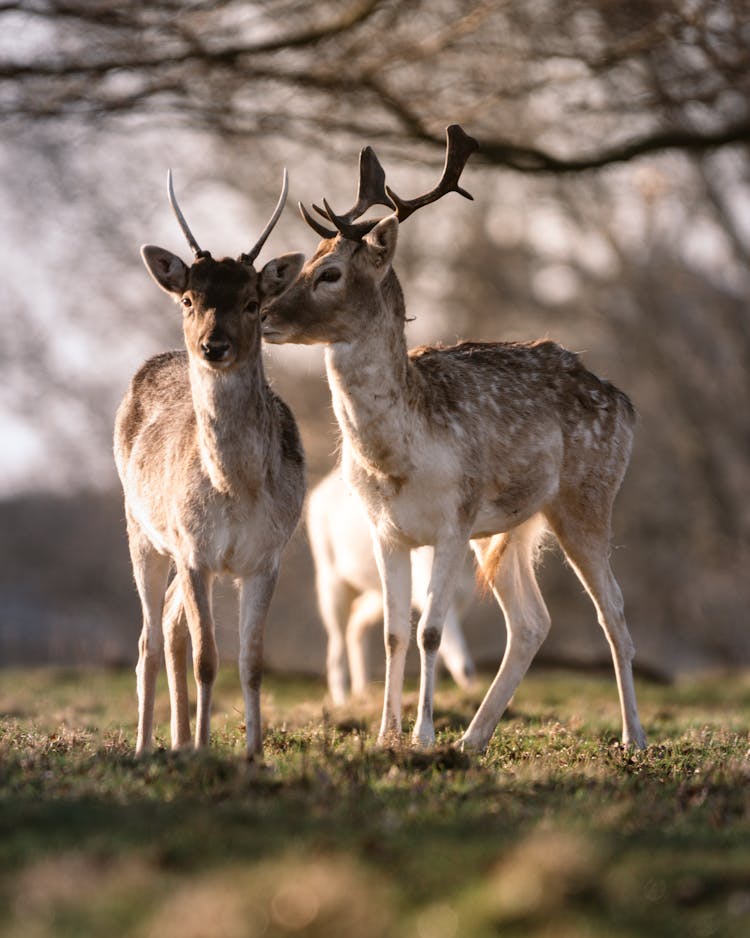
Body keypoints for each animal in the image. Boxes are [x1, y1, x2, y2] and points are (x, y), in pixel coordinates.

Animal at [114, 166, 306, 752]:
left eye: (253, 303)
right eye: (188, 299)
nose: (213, 345)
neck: (236, 489)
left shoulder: (267, 555)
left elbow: (251, 663)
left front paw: (253, 752)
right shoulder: (195, 550)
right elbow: (206, 659)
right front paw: (203, 750)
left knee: (171, 625)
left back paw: (176, 741)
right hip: (141, 528)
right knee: (150, 639)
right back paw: (148, 746)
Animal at [306, 468, 476, 704]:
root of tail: (321, 489)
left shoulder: (462, 601)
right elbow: (457, 656)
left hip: (379, 594)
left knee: (357, 622)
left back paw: (363, 692)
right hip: (331, 583)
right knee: (336, 646)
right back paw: (342, 702)